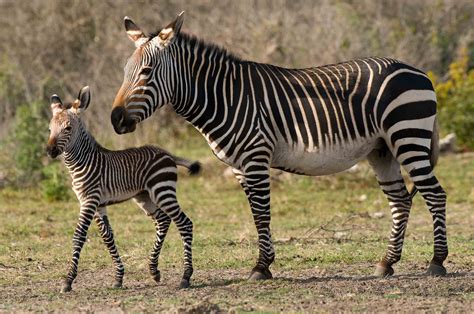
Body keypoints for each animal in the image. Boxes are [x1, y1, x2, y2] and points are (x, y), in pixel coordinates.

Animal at [46, 86, 198, 292]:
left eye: (68, 128)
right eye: (49, 129)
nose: (50, 151)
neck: (82, 162)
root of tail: (167, 153)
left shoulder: (89, 201)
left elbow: (79, 236)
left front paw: (68, 281)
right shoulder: (98, 204)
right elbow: (107, 237)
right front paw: (119, 277)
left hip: (162, 191)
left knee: (184, 223)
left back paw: (185, 276)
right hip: (144, 197)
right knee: (163, 221)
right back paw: (154, 270)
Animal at [111, 12, 448, 280]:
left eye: (146, 73)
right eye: (125, 72)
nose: (116, 119)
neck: (226, 97)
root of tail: (419, 72)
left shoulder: (256, 157)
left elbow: (262, 213)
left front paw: (261, 267)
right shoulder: (239, 166)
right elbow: (255, 213)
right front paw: (265, 263)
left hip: (408, 137)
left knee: (435, 195)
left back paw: (436, 262)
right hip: (382, 150)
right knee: (400, 201)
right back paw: (387, 263)